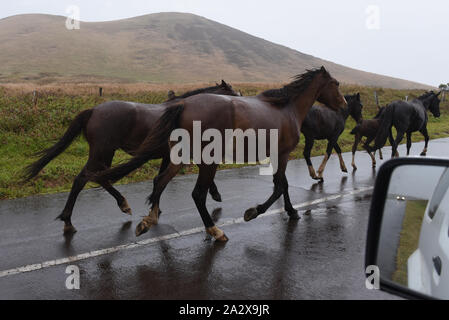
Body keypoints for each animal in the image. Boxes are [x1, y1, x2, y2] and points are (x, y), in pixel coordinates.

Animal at [22, 81, 240, 234]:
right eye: (235, 95)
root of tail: (93, 111)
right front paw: (214, 193)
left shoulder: (167, 156)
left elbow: (159, 180)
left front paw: (155, 209)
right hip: (102, 152)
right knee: (83, 179)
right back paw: (70, 221)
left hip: (105, 154)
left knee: (99, 178)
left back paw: (121, 204)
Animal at [93, 68, 346, 242]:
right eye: (336, 83)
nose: (344, 104)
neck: (287, 109)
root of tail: (183, 105)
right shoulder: (282, 155)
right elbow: (279, 186)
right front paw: (253, 212)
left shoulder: (277, 155)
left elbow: (282, 185)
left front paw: (292, 212)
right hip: (207, 160)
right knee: (197, 194)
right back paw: (215, 231)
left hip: (179, 157)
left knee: (160, 181)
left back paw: (148, 221)